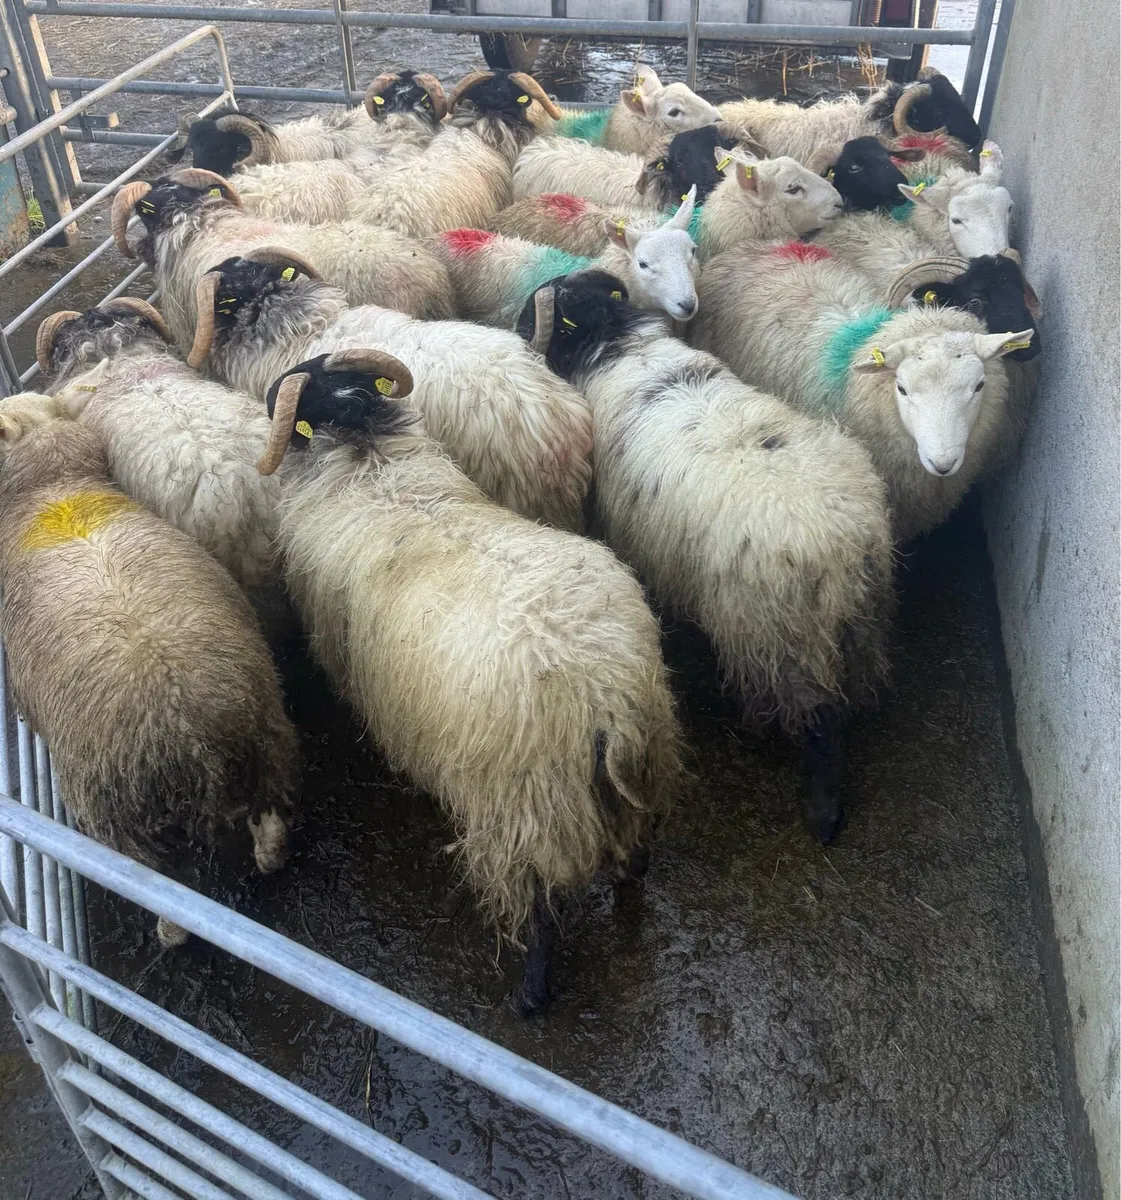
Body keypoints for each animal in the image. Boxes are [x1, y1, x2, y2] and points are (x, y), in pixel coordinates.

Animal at [0, 396, 300, 946]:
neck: (54, 490)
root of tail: (189, 729)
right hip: (266, 731)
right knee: (271, 816)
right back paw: (271, 855)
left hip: (115, 810)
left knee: (158, 882)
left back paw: (170, 930)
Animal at [252, 349, 681, 1011]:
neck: (367, 455)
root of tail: (602, 697)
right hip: (646, 758)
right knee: (637, 852)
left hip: (523, 812)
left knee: (538, 909)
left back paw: (530, 995)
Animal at [517, 269, 894, 843]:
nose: (515, 333)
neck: (617, 343)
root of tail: (841, 551)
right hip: (858, 629)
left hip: (780, 640)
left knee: (821, 725)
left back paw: (821, 812)